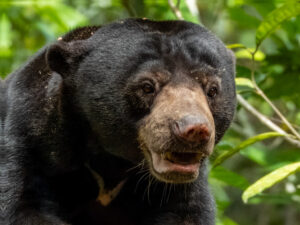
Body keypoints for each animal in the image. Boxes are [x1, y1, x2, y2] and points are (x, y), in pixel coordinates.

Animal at [3, 18, 236, 224]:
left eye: (212, 90)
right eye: (147, 87)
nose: (194, 129)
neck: (113, 161)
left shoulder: (182, 188)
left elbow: (186, 213)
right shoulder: (29, 140)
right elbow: (23, 206)